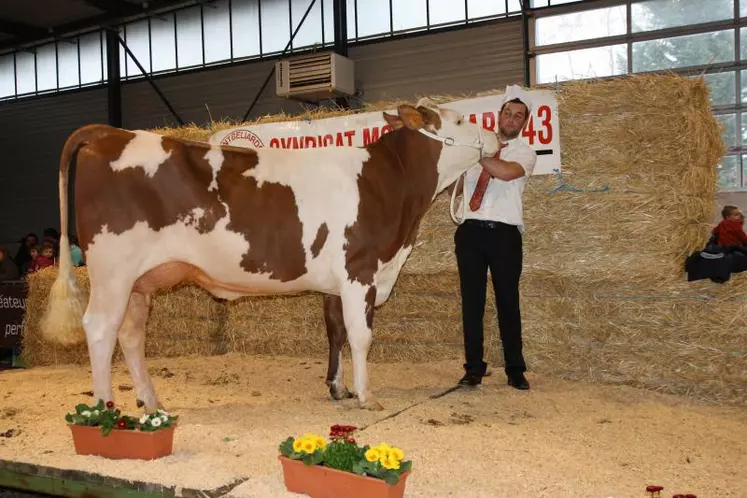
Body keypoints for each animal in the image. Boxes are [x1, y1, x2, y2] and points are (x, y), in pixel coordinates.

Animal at [39, 98, 496, 412]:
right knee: (100, 329)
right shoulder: (360, 270)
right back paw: (104, 410)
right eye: (459, 119)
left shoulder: (337, 283)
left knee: (131, 336)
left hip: (139, 282)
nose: (495, 137)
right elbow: (361, 335)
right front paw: (367, 396)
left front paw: (339, 388)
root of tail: (107, 133)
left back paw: (152, 403)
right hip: (113, 271)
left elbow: (337, 333)